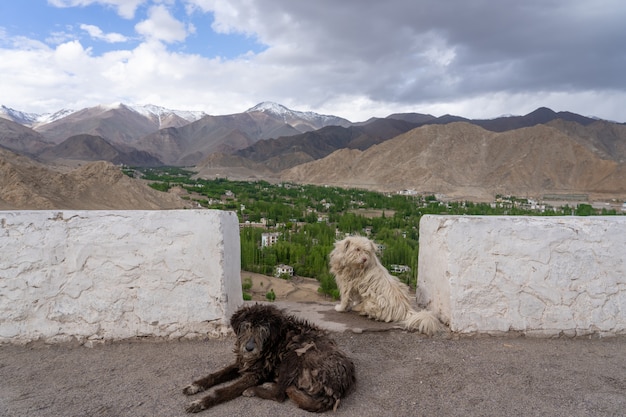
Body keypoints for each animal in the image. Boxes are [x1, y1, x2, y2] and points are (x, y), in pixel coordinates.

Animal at [183, 302, 354, 412]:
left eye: (263, 330)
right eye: (246, 326)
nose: (248, 348)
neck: (273, 341)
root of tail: (337, 389)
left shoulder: (256, 374)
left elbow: (224, 390)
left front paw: (200, 402)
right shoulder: (241, 363)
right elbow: (215, 375)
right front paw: (195, 386)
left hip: (293, 355)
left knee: (279, 395)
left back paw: (254, 390)